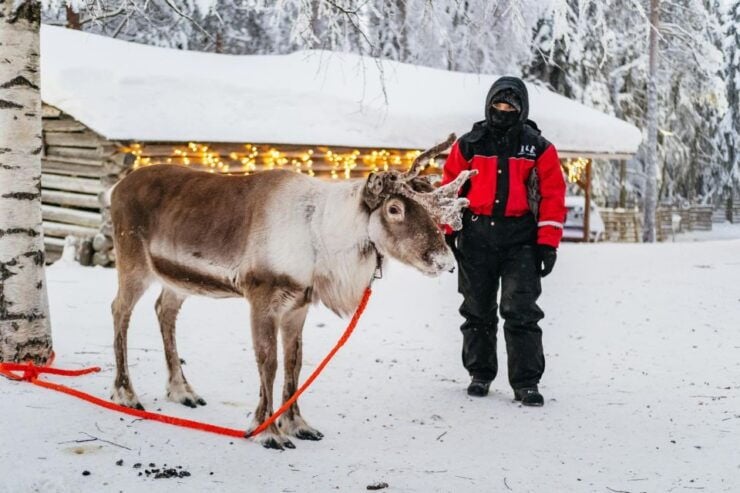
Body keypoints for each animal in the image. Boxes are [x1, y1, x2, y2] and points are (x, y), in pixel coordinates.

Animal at [108, 134, 476, 449]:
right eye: (394, 209)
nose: (444, 261)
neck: (321, 240)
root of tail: (116, 188)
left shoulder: (298, 305)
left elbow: (294, 364)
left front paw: (298, 425)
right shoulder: (261, 297)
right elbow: (268, 362)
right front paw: (267, 431)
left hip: (177, 279)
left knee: (164, 310)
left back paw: (182, 391)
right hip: (133, 264)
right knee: (119, 311)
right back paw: (125, 394)